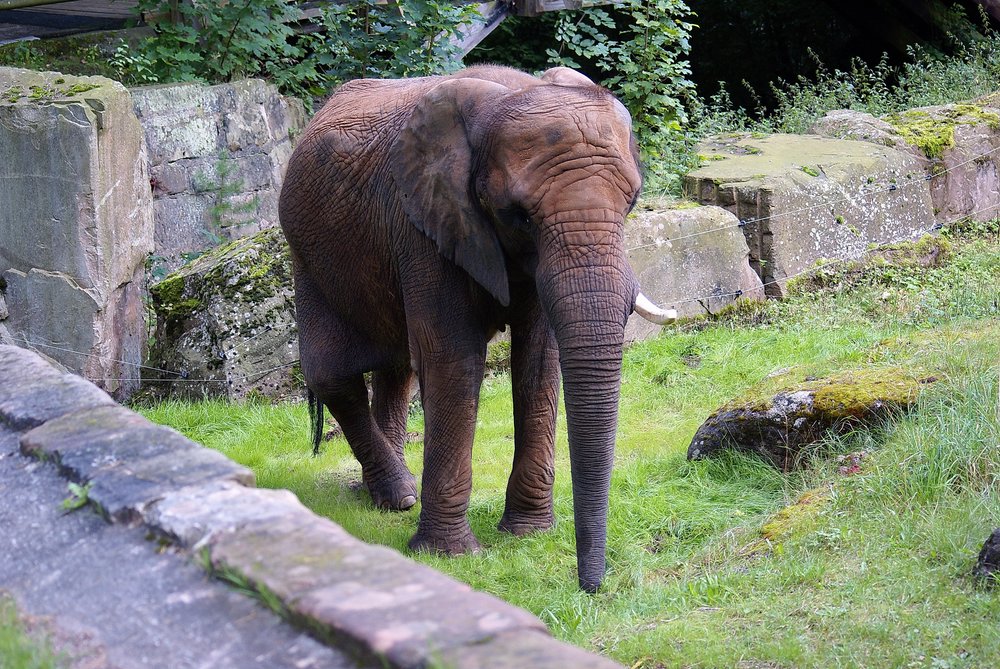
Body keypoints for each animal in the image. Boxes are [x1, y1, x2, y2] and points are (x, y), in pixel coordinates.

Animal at [278, 65, 674, 592]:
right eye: (519, 216)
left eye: (632, 201)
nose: (591, 587)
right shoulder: (426, 224)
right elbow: (452, 358)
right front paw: (449, 555)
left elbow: (539, 359)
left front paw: (526, 533)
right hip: (306, 250)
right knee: (333, 374)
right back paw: (399, 494)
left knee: (397, 367)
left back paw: (390, 496)